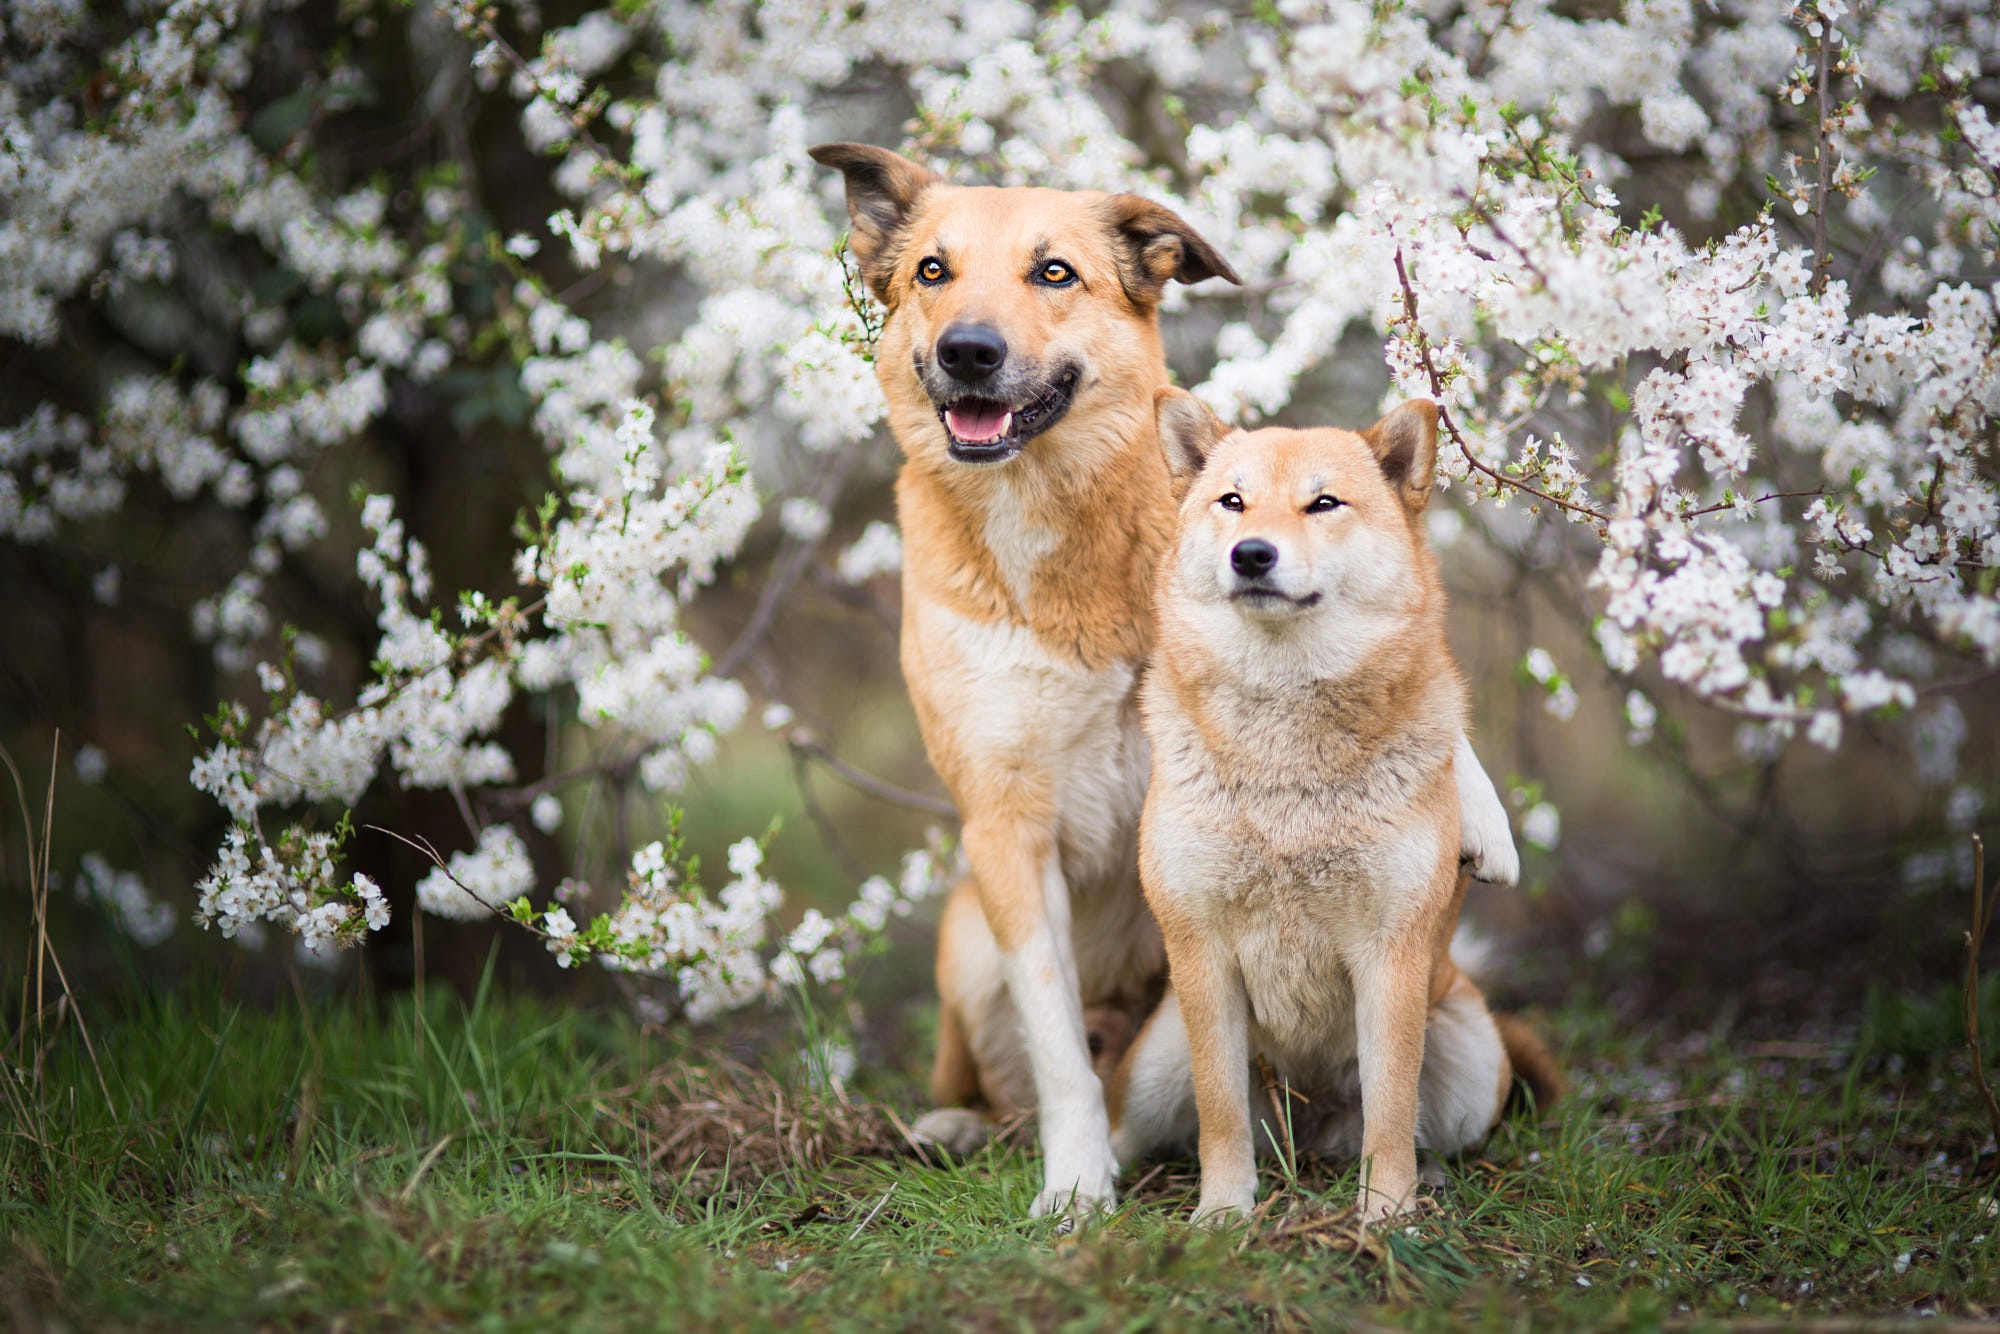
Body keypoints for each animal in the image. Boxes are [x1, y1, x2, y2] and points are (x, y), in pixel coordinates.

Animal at [1112, 400, 1560, 1232]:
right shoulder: (1201, 954)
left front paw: (1387, 1217)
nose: (1252, 555)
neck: (1288, 766)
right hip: (1159, 1057)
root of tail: (1311, 1127)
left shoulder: (1391, 955)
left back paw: (1429, 1178)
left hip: (1469, 1051)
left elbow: (1391, 1108)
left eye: (1324, 503)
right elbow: (1220, 1117)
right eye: (1232, 501)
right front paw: (1223, 1214)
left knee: (1417, 1127)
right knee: (1133, 1121)